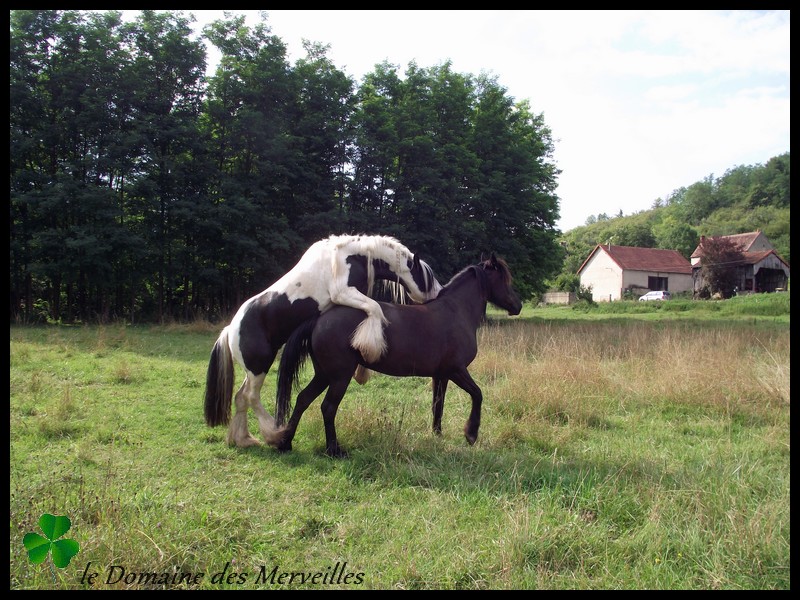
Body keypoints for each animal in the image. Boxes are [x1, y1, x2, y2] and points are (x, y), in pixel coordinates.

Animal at [203, 233, 440, 446]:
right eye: (427, 277)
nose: (438, 294)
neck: (351, 256)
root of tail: (230, 329)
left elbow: (370, 313)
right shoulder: (343, 293)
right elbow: (375, 308)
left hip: (252, 371)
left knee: (240, 397)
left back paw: (244, 439)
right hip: (259, 367)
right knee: (251, 397)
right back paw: (273, 434)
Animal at [276, 252, 524, 454]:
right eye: (504, 280)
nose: (518, 305)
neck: (456, 311)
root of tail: (319, 319)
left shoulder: (441, 375)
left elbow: (438, 404)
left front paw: (437, 435)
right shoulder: (457, 370)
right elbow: (477, 394)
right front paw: (471, 433)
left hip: (323, 374)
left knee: (303, 399)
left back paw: (286, 443)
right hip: (339, 376)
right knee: (327, 408)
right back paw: (334, 450)